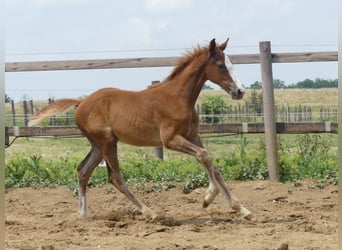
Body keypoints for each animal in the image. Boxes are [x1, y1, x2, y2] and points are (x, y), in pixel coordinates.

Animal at [29, 38, 252, 221]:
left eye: (231, 64)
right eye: (221, 65)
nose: (240, 91)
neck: (177, 98)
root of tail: (81, 102)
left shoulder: (193, 135)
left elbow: (211, 163)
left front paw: (242, 209)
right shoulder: (170, 140)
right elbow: (204, 156)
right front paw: (208, 198)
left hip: (99, 145)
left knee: (83, 170)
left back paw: (83, 214)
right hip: (107, 141)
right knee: (115, 177)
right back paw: (149, 212)